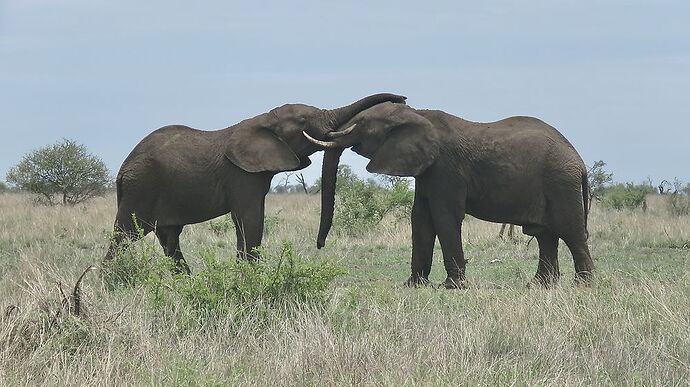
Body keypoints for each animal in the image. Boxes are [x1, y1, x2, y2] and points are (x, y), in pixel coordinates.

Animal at [105, 93, 406, 272]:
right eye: (303, 121)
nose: (402, 99)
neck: (262, 120)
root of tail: (122, 170)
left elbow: (246, 222)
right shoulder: (240, 174)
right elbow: (250, 219)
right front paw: (250, 275)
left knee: (169, 239)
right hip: (141, 187)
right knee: (123, 236)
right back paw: (110, 280)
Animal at [306, 101, 592, 290]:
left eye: (362, 124)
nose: (320, 245)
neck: (417, 115)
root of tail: (579, 161)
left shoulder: (446, 167)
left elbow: (444, 216)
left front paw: (452, 286)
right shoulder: (427, 169)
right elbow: (420, 218)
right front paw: (413, 285)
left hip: (560, 182)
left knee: (570, 232)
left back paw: (583, 285)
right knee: (546, 235)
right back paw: (541, 285)